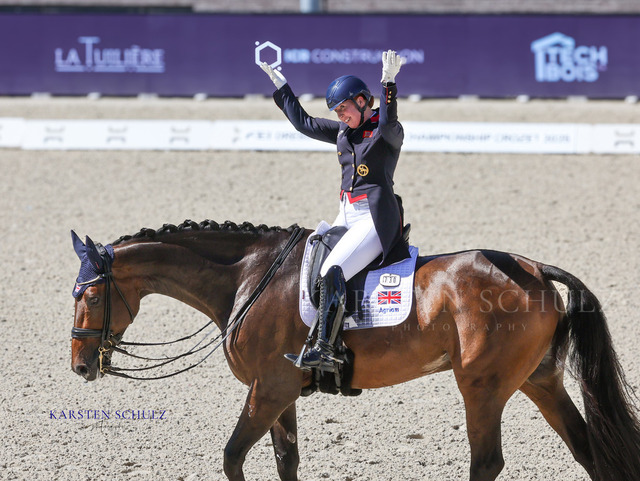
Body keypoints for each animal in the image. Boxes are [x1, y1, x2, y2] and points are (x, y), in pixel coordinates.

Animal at [70, 219, 640, 481]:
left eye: (91, 296)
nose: (79, 367)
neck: (246, 279)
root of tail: (537, 269)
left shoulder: (268, 390)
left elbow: (233, 458)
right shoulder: (281, 393)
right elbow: (286, 462)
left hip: (482, 386)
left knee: (487, 462)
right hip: (538, 379)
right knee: (587, 448)